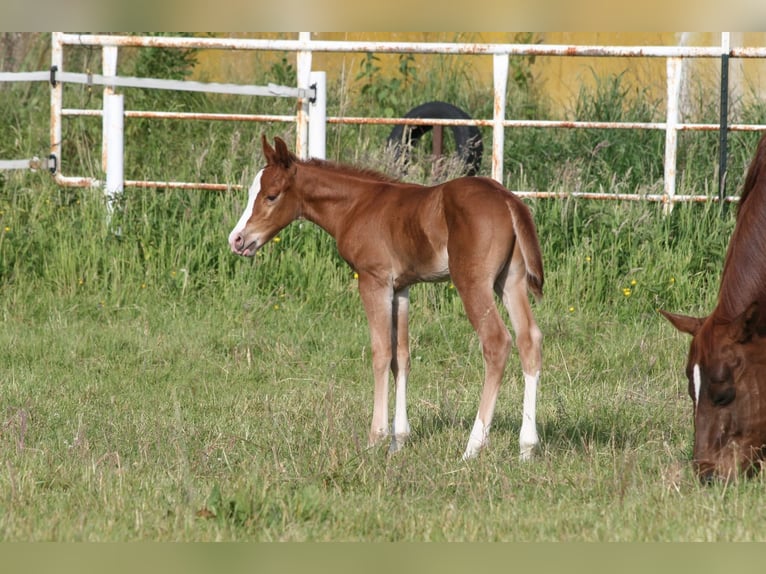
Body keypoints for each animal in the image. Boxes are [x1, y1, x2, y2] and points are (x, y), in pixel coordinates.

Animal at [229, 136, 544, 461]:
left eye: (271, 196)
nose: (237, 240)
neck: (357, 205)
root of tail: (508, 200)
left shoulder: (374, 280)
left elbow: (380, 353)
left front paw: (375, 438)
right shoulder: (401, 288)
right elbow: (401, 356)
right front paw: (398, 441)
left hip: (472, 282)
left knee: (496, 341)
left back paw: (472, 447)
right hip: (510, 280)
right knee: (529, 339)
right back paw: (527, 447)